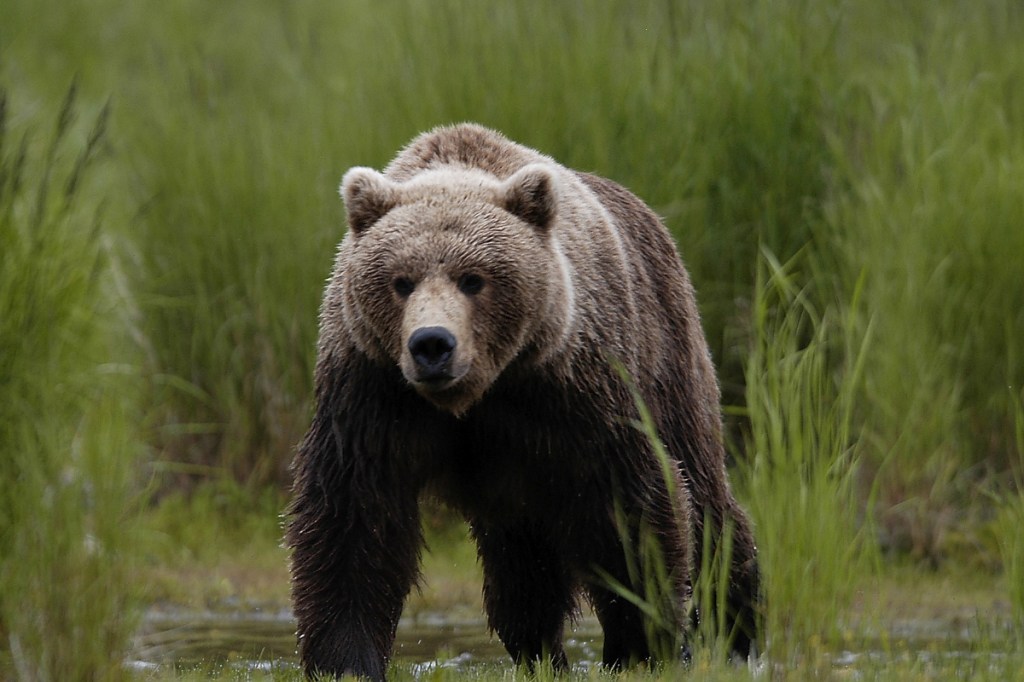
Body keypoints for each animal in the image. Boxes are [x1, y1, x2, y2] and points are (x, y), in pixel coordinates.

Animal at [288, 124, 761, 675]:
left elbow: (631, 508)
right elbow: (353, 517)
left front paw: (641, 645)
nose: (432, 344)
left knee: (704, 494)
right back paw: (540, 650)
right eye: (401, 282)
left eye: (473, 279)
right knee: (521, 563)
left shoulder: (574, 392)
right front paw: (344, 658)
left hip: (667, 350)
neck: (481, 393)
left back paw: (737, 632)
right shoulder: (373, 393)